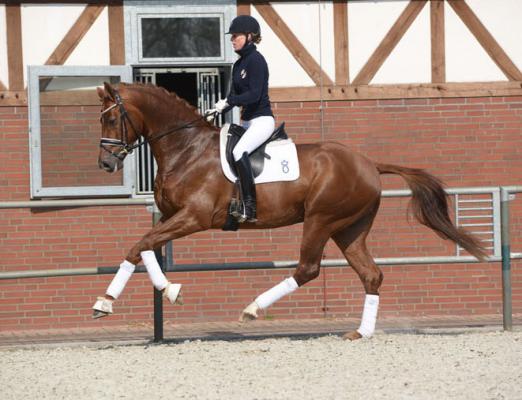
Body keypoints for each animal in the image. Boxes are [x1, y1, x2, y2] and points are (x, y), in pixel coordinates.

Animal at [92, 82, 484, 340]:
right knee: (371, 275)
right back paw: (361, 333)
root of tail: (369, 164)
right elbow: (143, 248)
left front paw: (107, 301)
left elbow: (138, 244)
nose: (106, 164)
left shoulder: (194, 217)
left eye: (110, 120)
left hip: (321, 220)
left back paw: (253, 309)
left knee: (308, 269)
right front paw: (166, 290)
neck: (186, 149)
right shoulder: (171, 217)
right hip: (349, 229)